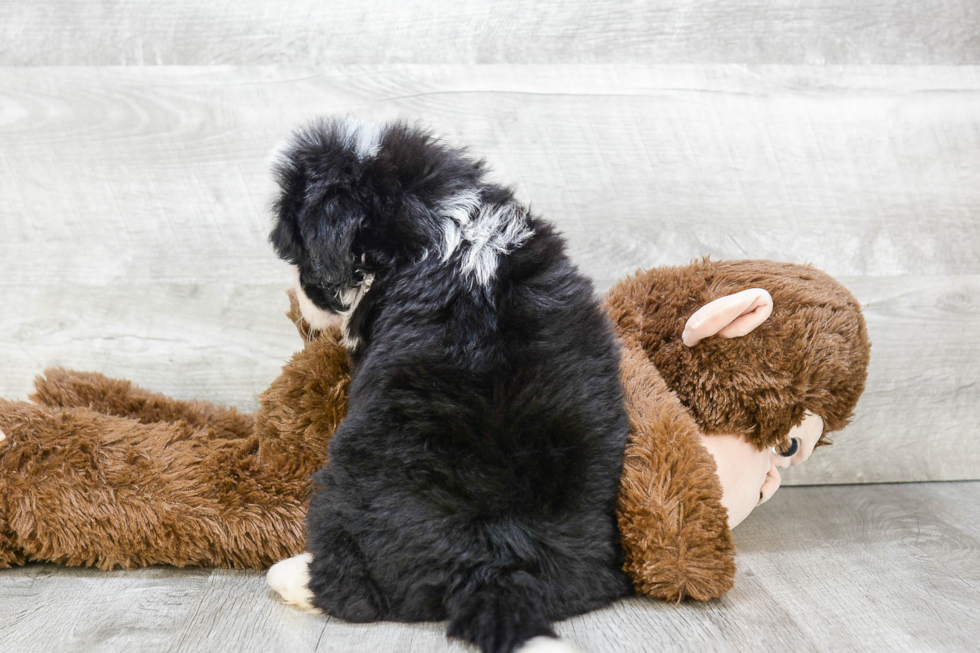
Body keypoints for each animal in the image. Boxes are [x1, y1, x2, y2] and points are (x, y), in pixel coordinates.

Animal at [264, 118, 628, 652]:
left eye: (300, 257)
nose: (297, 294)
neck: (434, 222)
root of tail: (494, 564)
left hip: (340, 496)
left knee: (356, 594)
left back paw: (290, 576)